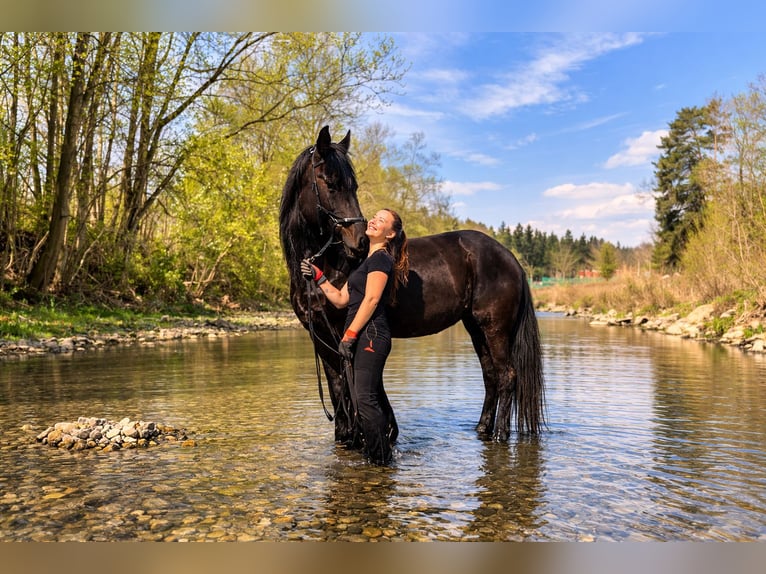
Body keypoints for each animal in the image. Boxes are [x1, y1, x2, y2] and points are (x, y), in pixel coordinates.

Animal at [279, 126, 545, 445]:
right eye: (330, 184)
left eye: (352, 186)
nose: (360, 242)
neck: (328, 264)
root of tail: (510, 258)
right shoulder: (319, 335)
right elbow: (336, 387)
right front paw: (346, 436)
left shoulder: (344, 333)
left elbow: (349, 386)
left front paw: (363, 436)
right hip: (476, 328)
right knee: (491, 376)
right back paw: (482, 429)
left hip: (495, 329)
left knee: (507, 376)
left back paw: (501, 435)